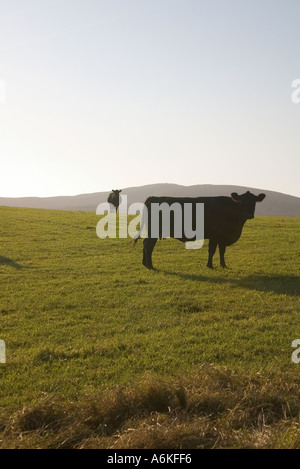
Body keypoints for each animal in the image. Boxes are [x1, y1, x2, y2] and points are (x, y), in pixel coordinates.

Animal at [135, 190, 266, 268]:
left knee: (145, 244)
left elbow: (222, 251)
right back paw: (150, 265)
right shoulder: (215, 236)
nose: (248, 214)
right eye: (242, 202)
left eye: (254, 202)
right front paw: (210, 265)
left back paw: (144, 263)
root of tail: (152, 197)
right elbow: (212, 251)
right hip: (153, 231)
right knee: (148, 245)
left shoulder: (223, 238)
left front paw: (223, 265)